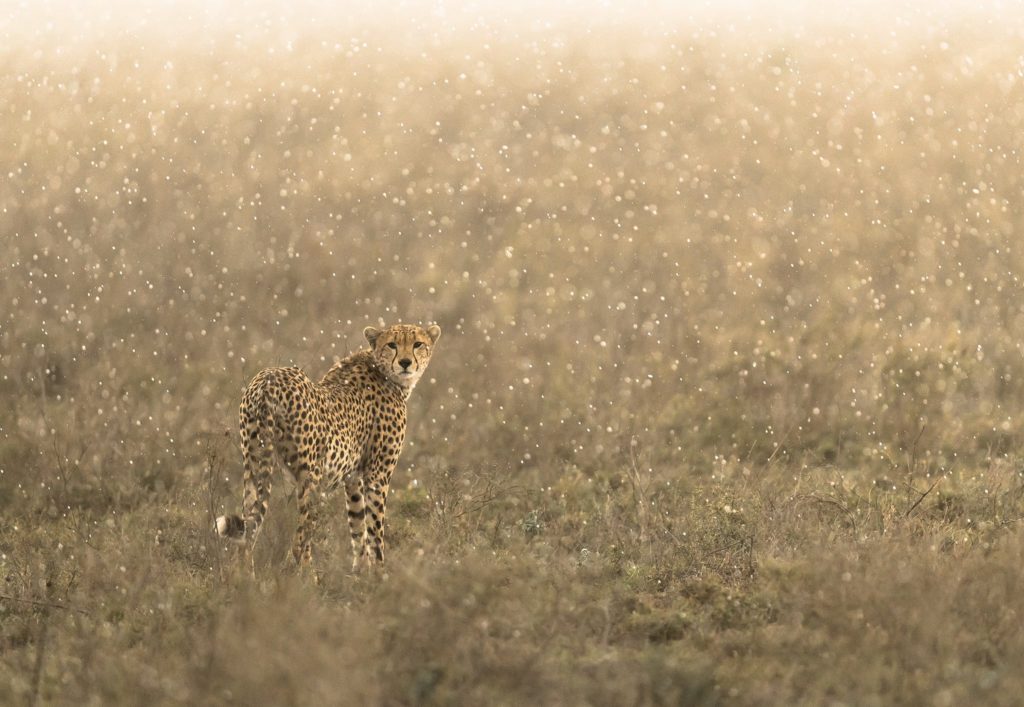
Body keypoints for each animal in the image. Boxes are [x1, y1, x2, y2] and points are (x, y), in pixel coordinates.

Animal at [215, 323, 441, 572]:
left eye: (417, 344)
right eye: (392, 344)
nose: (405, 362)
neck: (382, 370)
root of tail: (268, 379)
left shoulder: (353, 478)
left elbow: (357, 527)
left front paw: (360, 572)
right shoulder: (377, 476)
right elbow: (375, 531)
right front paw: (380, 574)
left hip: (253, 463)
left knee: (248, 535)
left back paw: (245, 578)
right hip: (311, 477)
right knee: (299, 542)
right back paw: (308, 579)